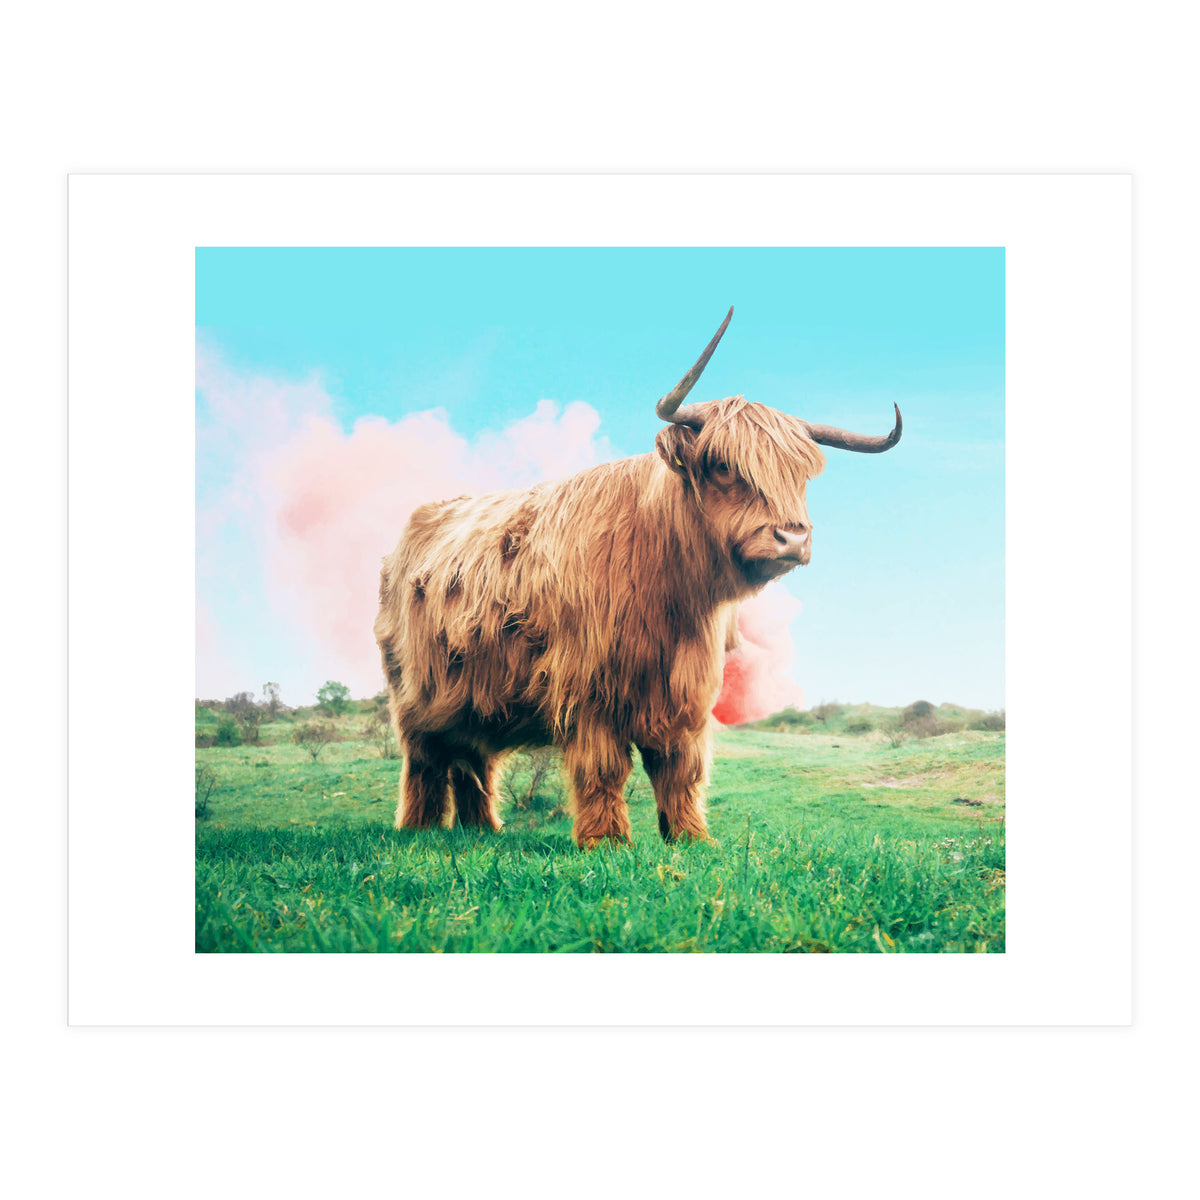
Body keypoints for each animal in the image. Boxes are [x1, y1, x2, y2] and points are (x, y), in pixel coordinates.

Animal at [374, 309, 901, 847]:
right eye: (723, 465)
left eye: (800, 475)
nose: (792, 538)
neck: (670, 593)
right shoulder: (588, 687)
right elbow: (603, 768)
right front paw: (606, 841)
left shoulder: (686, 692)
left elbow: (680, 768)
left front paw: (690, 837)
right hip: (415, 695)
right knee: (425, 760)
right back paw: (419, 829)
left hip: (473, 695)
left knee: (472, 759)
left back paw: (481, 829)